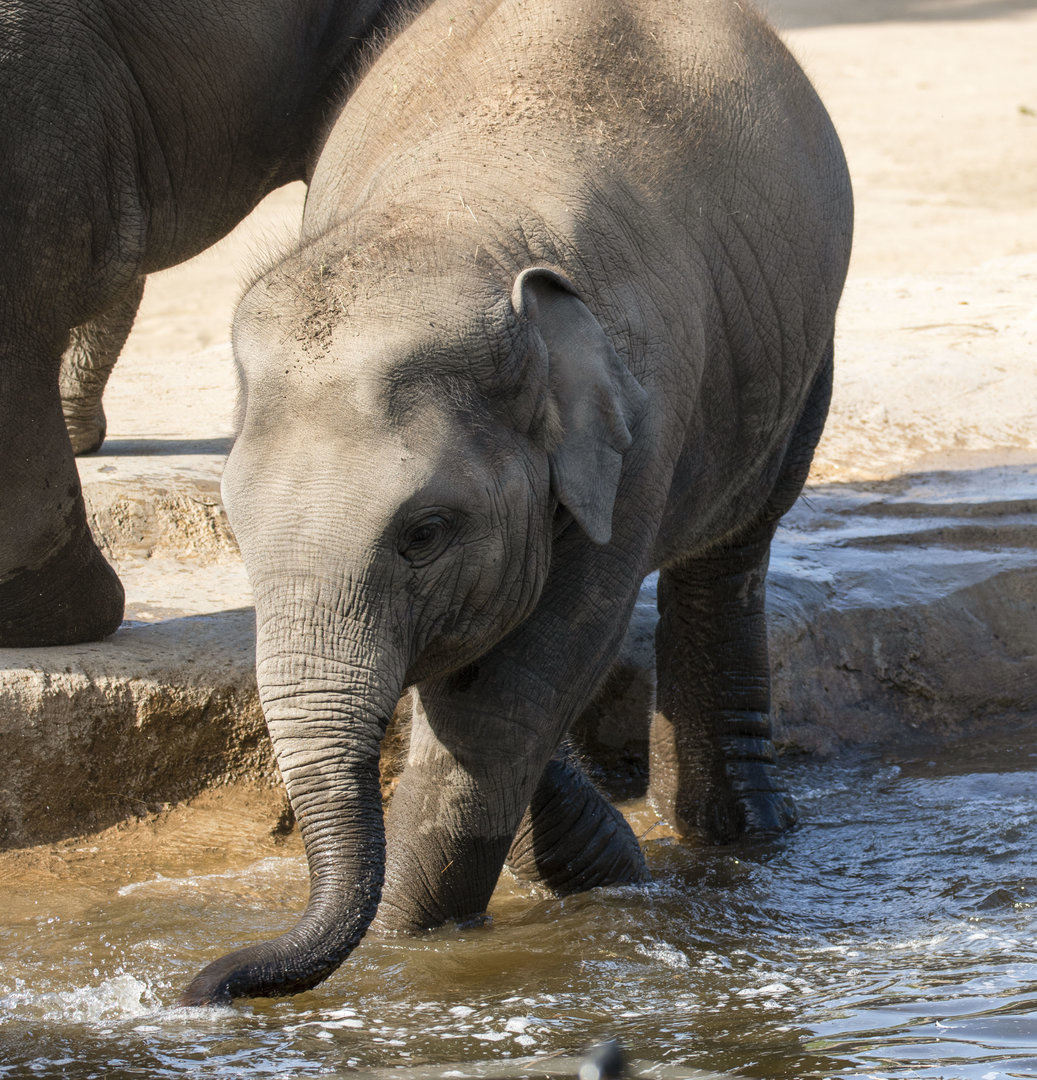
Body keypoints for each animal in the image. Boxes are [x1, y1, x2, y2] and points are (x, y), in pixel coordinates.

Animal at [179, 0, 853, 1005]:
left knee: (732, 551)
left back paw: (737, 838)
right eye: (236, 531)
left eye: (423, 533)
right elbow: (481, 676)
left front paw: (412, 956)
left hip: (801, 353)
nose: (202, 984)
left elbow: (508, 696)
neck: (456, 221)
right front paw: (602, 865)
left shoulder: (642, 422)